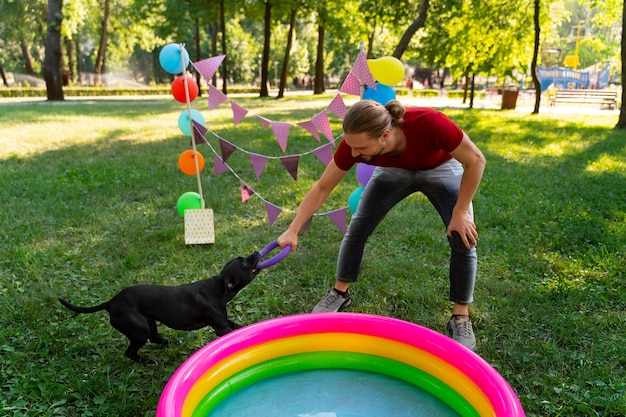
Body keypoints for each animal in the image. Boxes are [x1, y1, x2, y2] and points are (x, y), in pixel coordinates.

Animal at [59, 250, 260, 360]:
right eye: (244, 262)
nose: (257, 252)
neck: (219, 288)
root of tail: (112, 302)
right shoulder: (220, 327)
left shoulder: (224, 320)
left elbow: (238, 326)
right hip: (139, 330)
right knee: (130, 352)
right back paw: (147, 361)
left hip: (148, 322)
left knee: (155, 338)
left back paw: (170, 342)